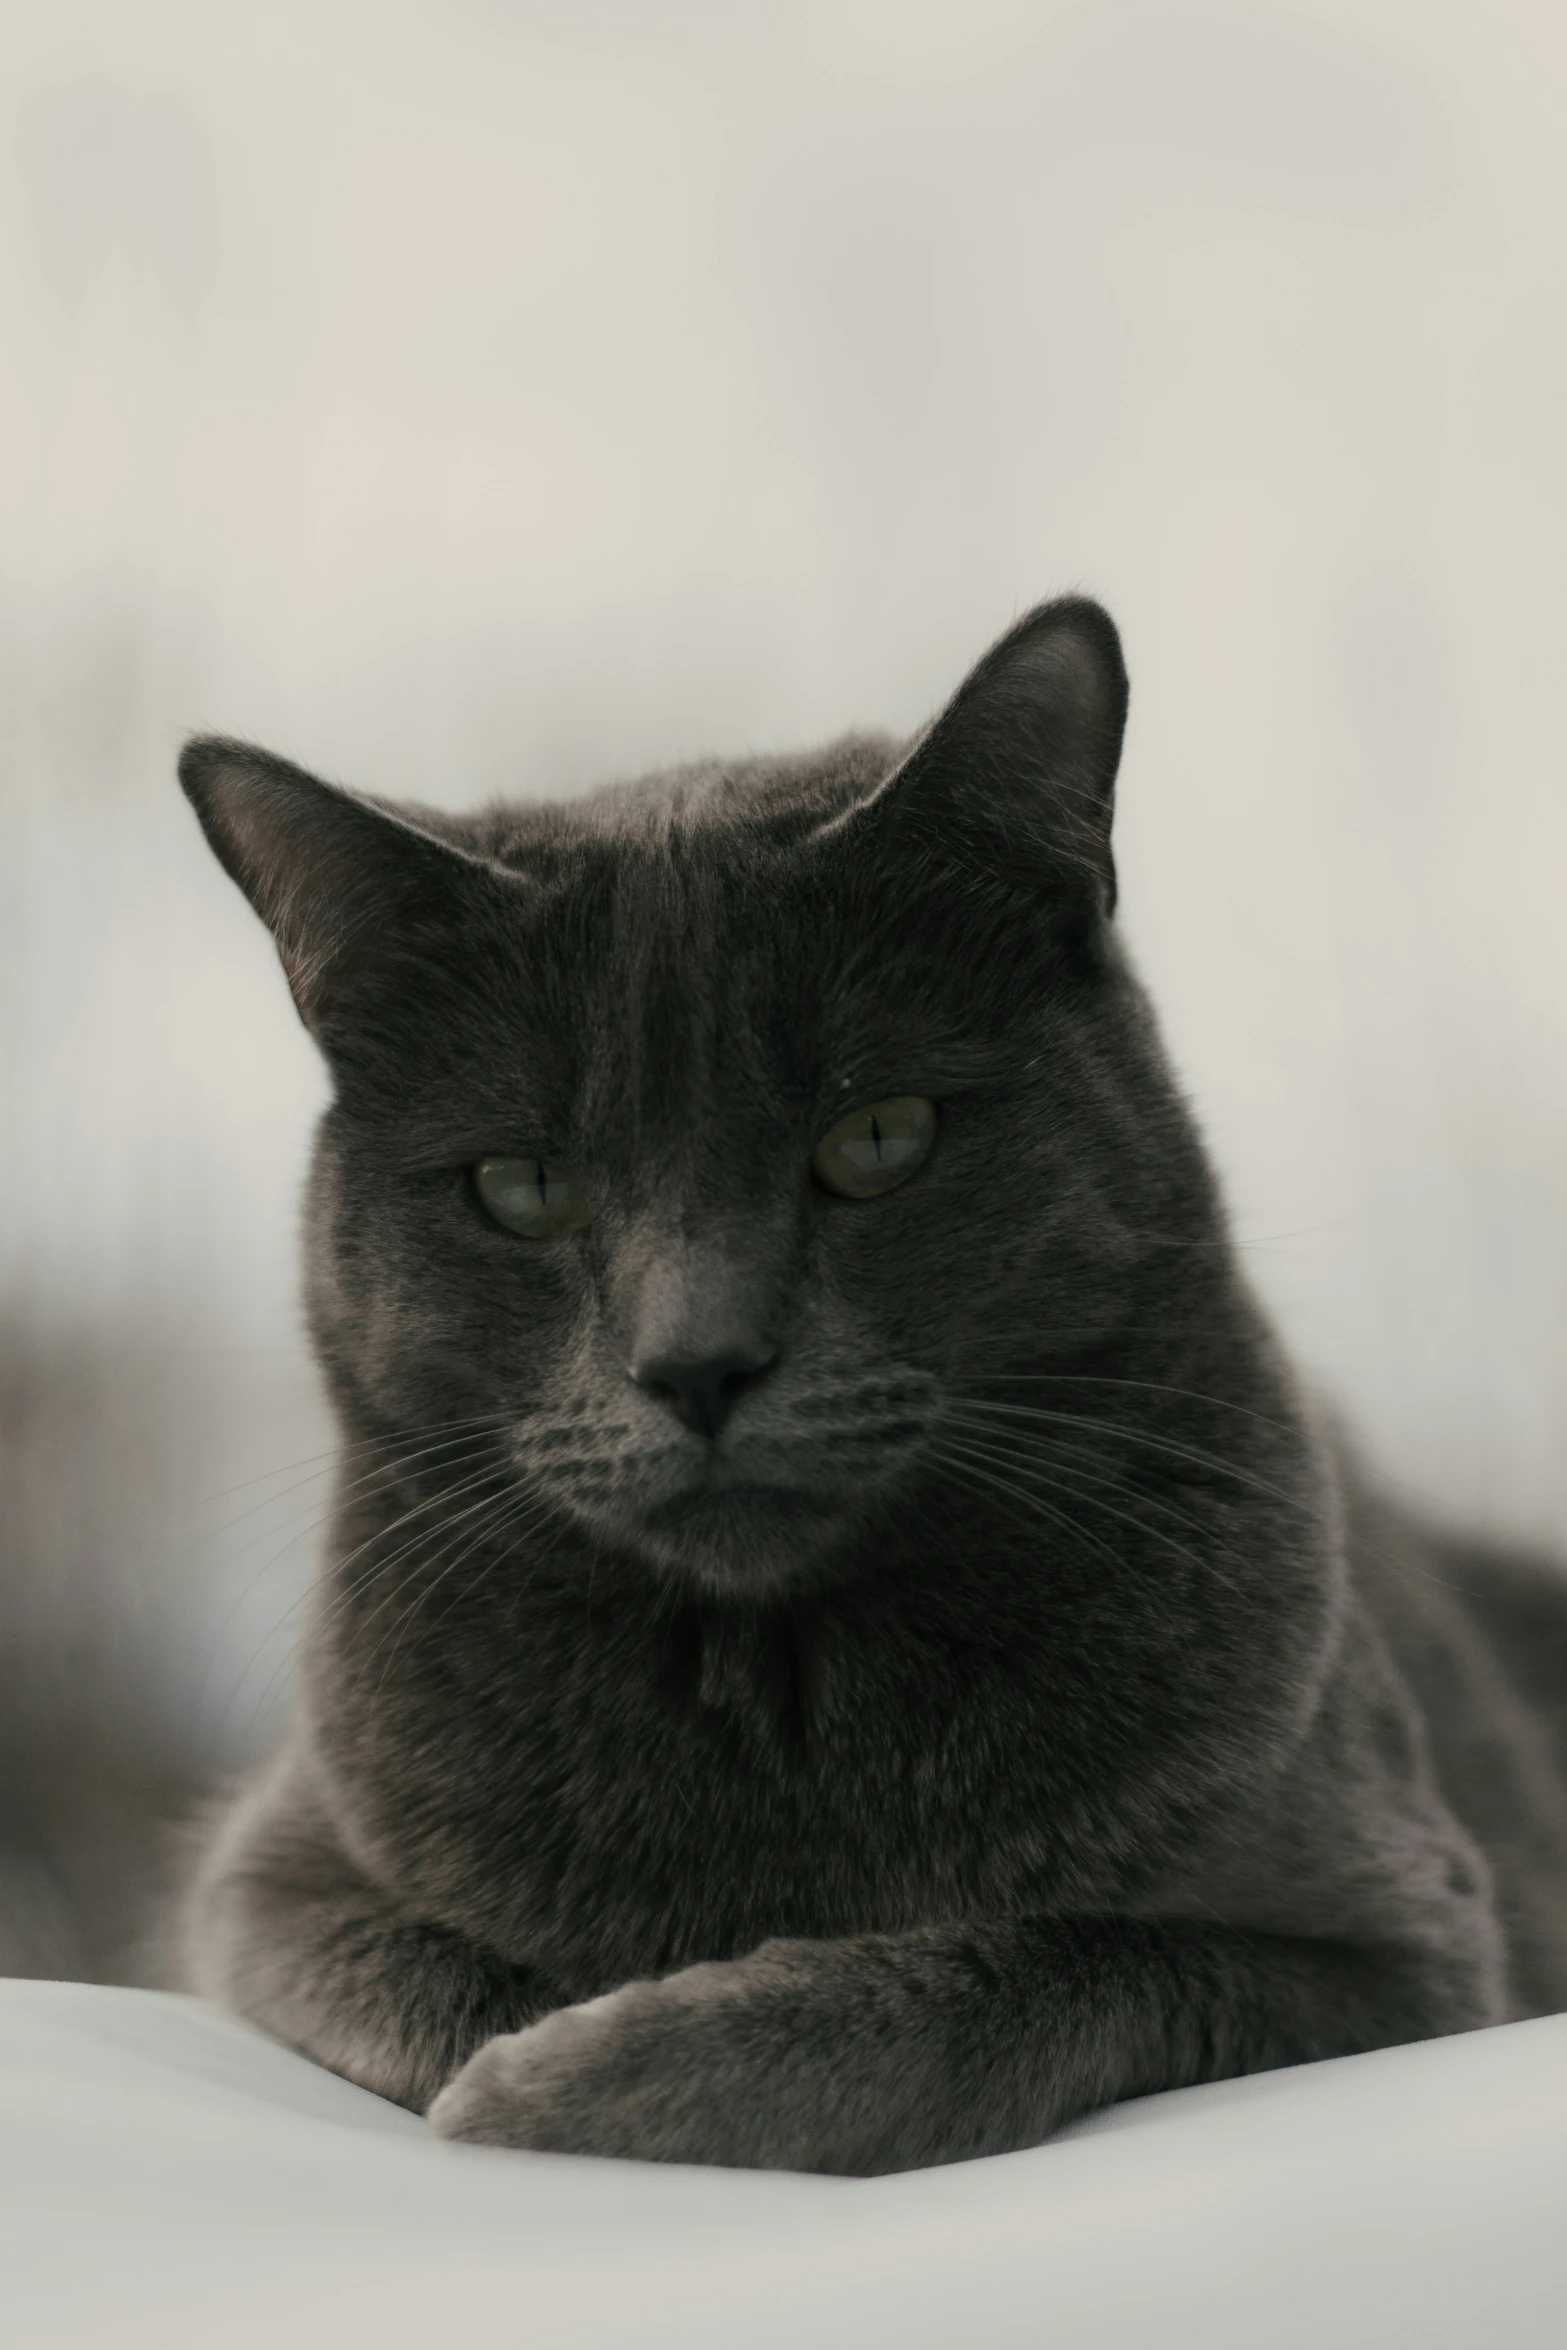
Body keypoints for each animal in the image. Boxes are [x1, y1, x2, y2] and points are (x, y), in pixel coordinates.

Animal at [175, 601, 1567, 2162]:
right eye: (520, 1187)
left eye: (879, 1136)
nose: (697, 1359)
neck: (772, 1688)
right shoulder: (267, 1881)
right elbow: (429, 1972)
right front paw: (539, 2045)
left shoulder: (1409, 1952)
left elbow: (1048, 1961)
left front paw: (599, 2073)